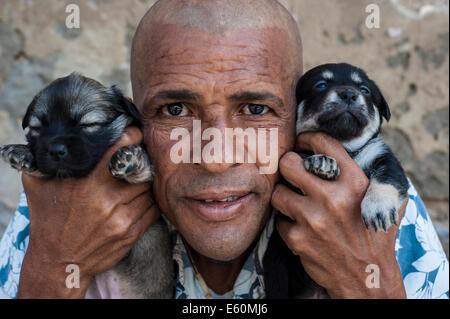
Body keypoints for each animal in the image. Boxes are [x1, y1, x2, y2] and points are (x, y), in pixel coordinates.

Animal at [294, 63, 410, 232]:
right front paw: (322, 162)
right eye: (321, 85)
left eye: (364, 90)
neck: (347, 146)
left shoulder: (385, 157)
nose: (348, 94)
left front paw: (378, 207)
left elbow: (387, 178)